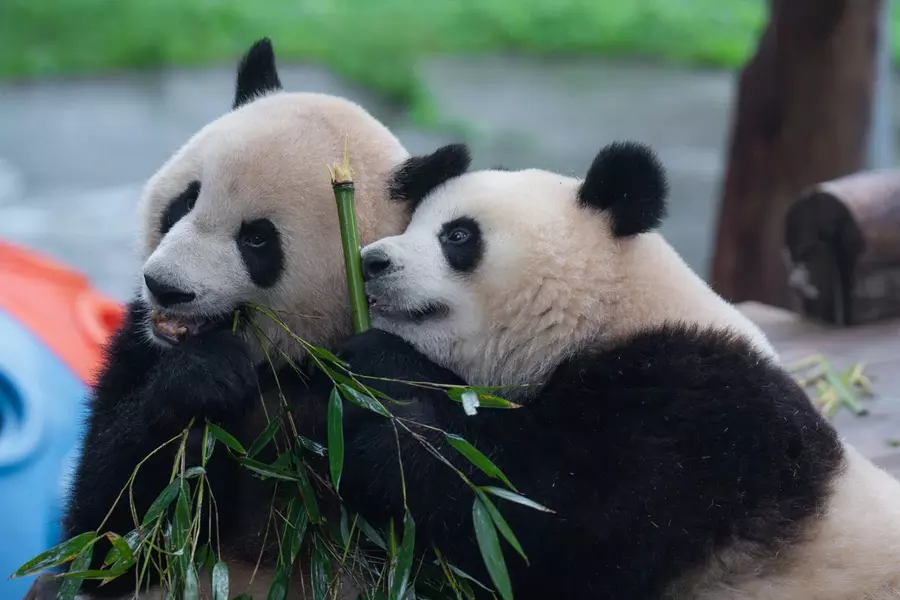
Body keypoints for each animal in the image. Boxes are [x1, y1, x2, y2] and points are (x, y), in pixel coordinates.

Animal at [24, 38, 412, 600]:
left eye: (257, 239)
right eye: (185, 200)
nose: (164, 286)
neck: (286, 363)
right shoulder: (138, 346)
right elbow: (106, 531)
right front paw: (203, 379)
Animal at [309, 142, 900, 599]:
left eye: (458, 236)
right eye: (414, 223)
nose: (372, 261)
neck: (609, 309)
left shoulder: (704, 418)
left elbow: (556, 530)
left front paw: (382, 383)